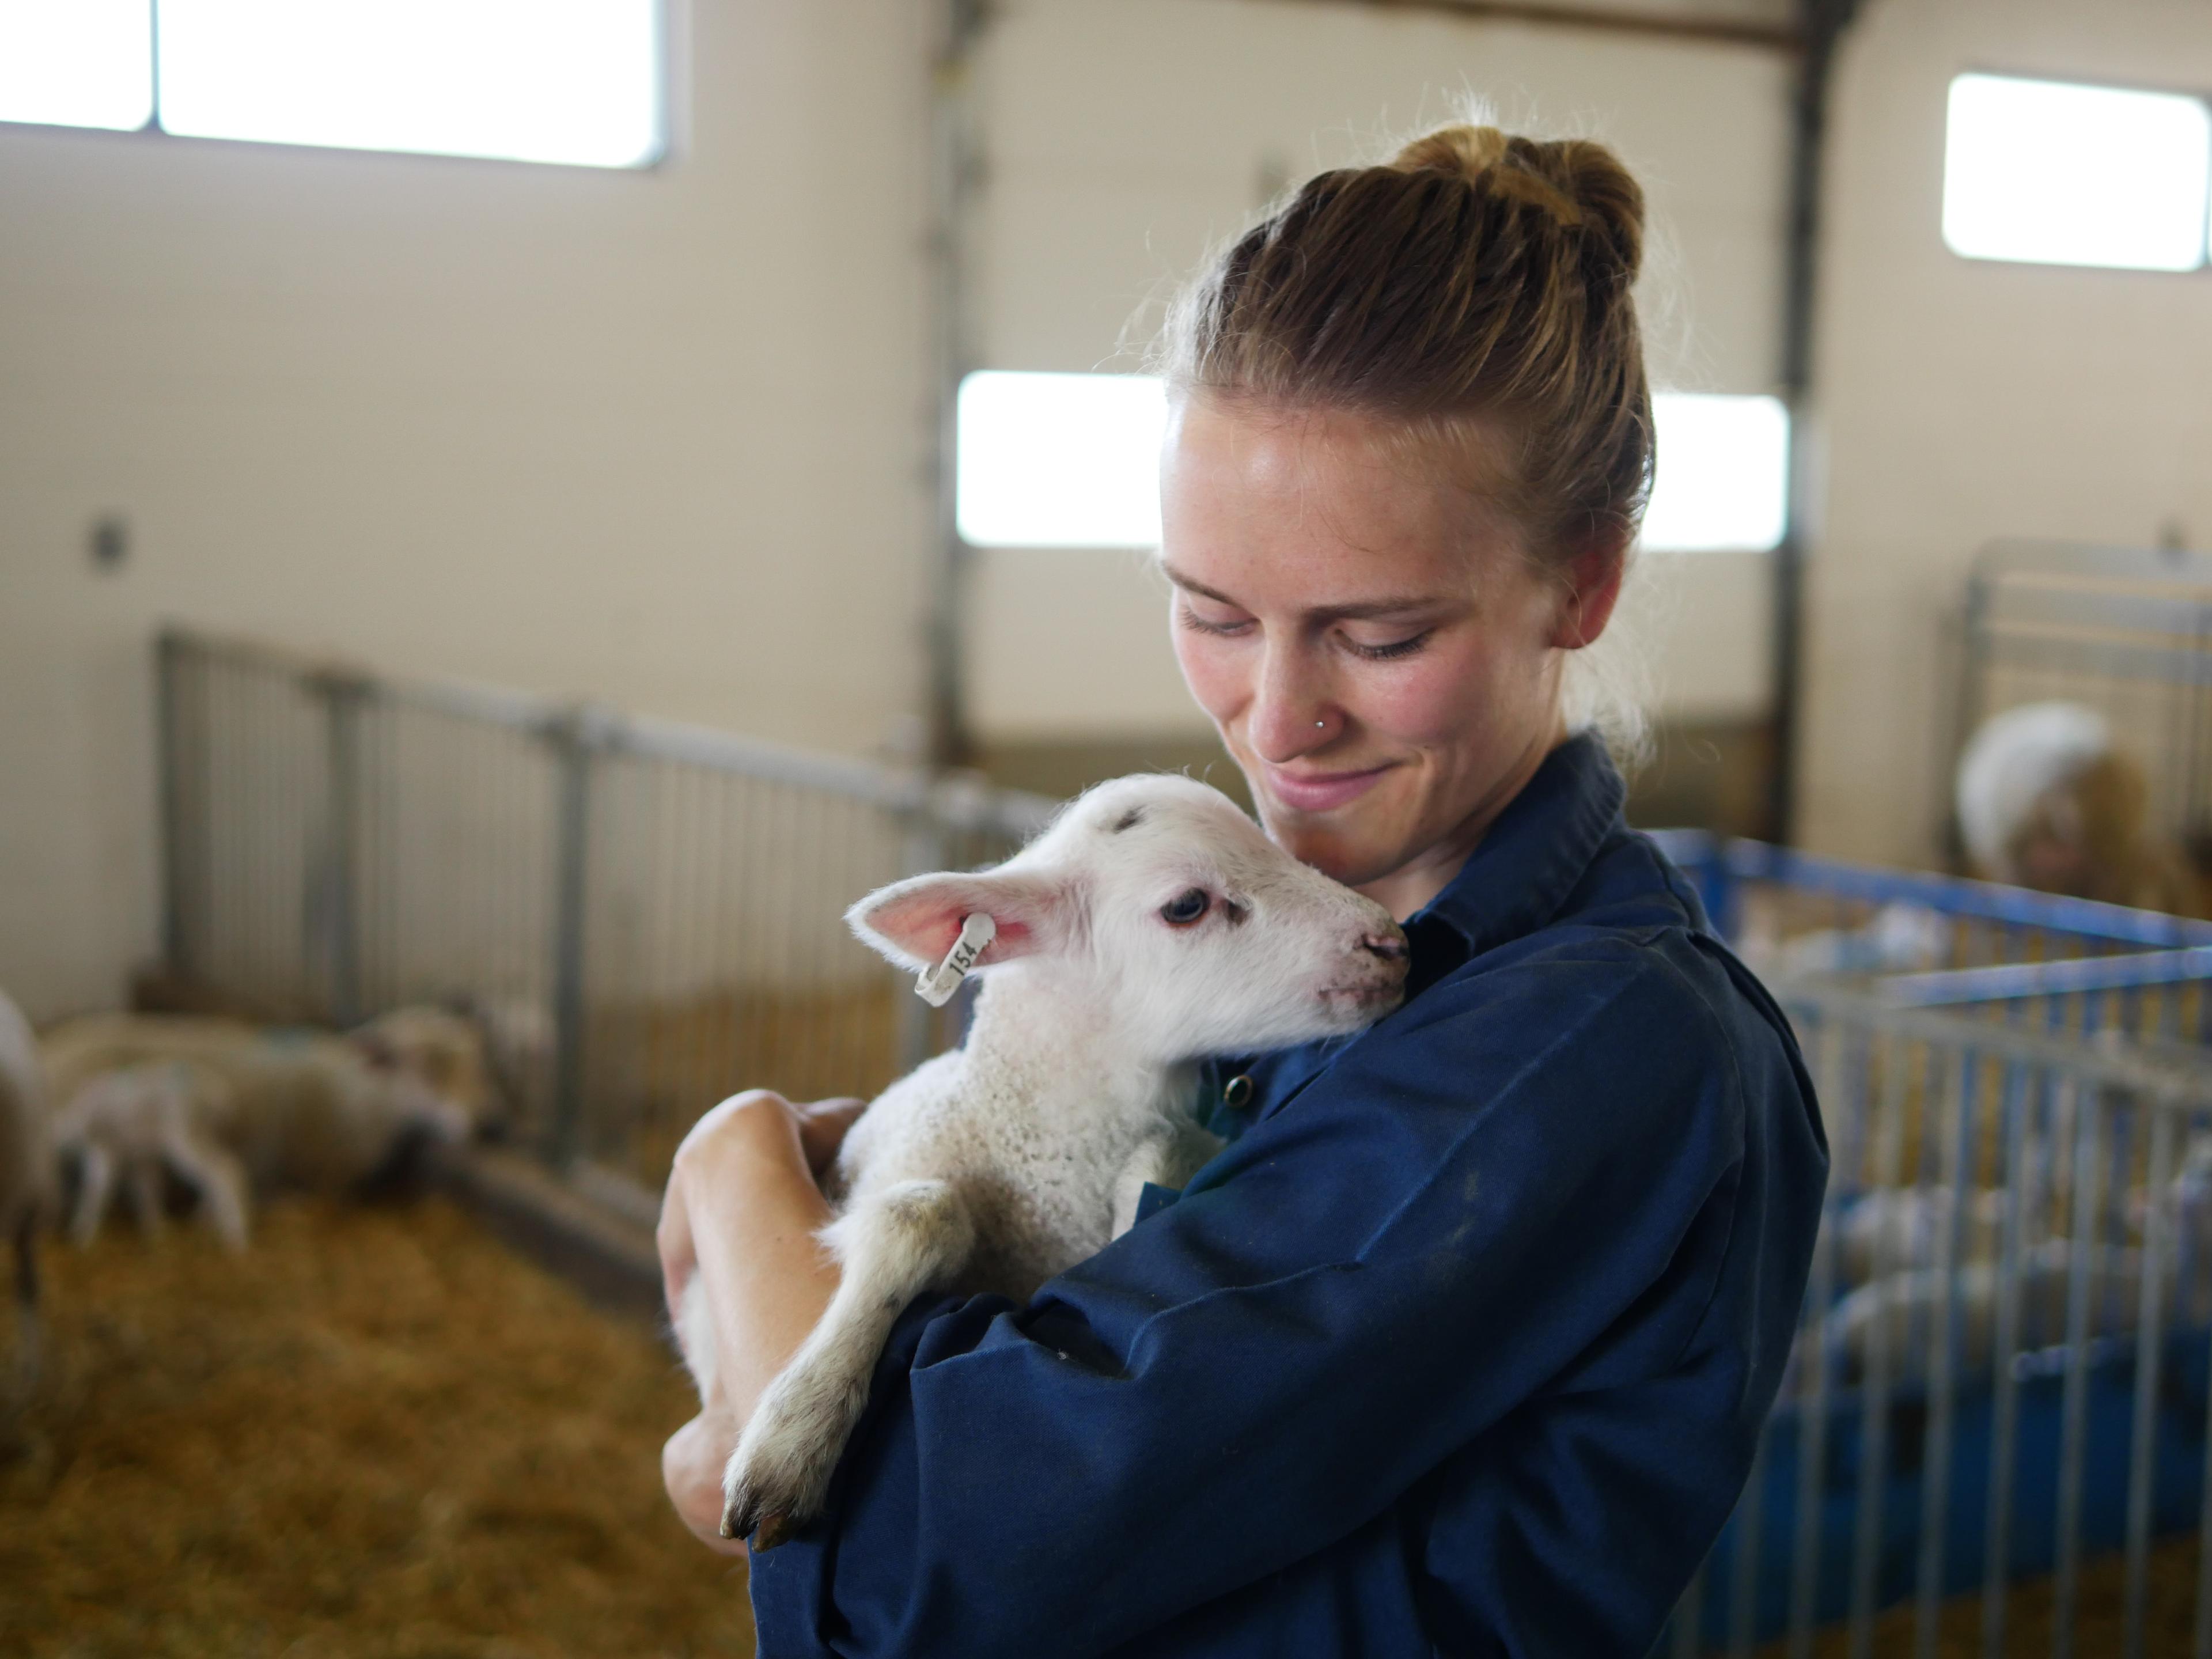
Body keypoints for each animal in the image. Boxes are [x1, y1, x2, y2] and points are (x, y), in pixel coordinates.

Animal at [676, 773, 1410, 1548]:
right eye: (1187, 906)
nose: (1391, 943)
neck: (1031, 1151)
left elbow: (1154, 1160)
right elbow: (917, 1217)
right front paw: (793, 1438)